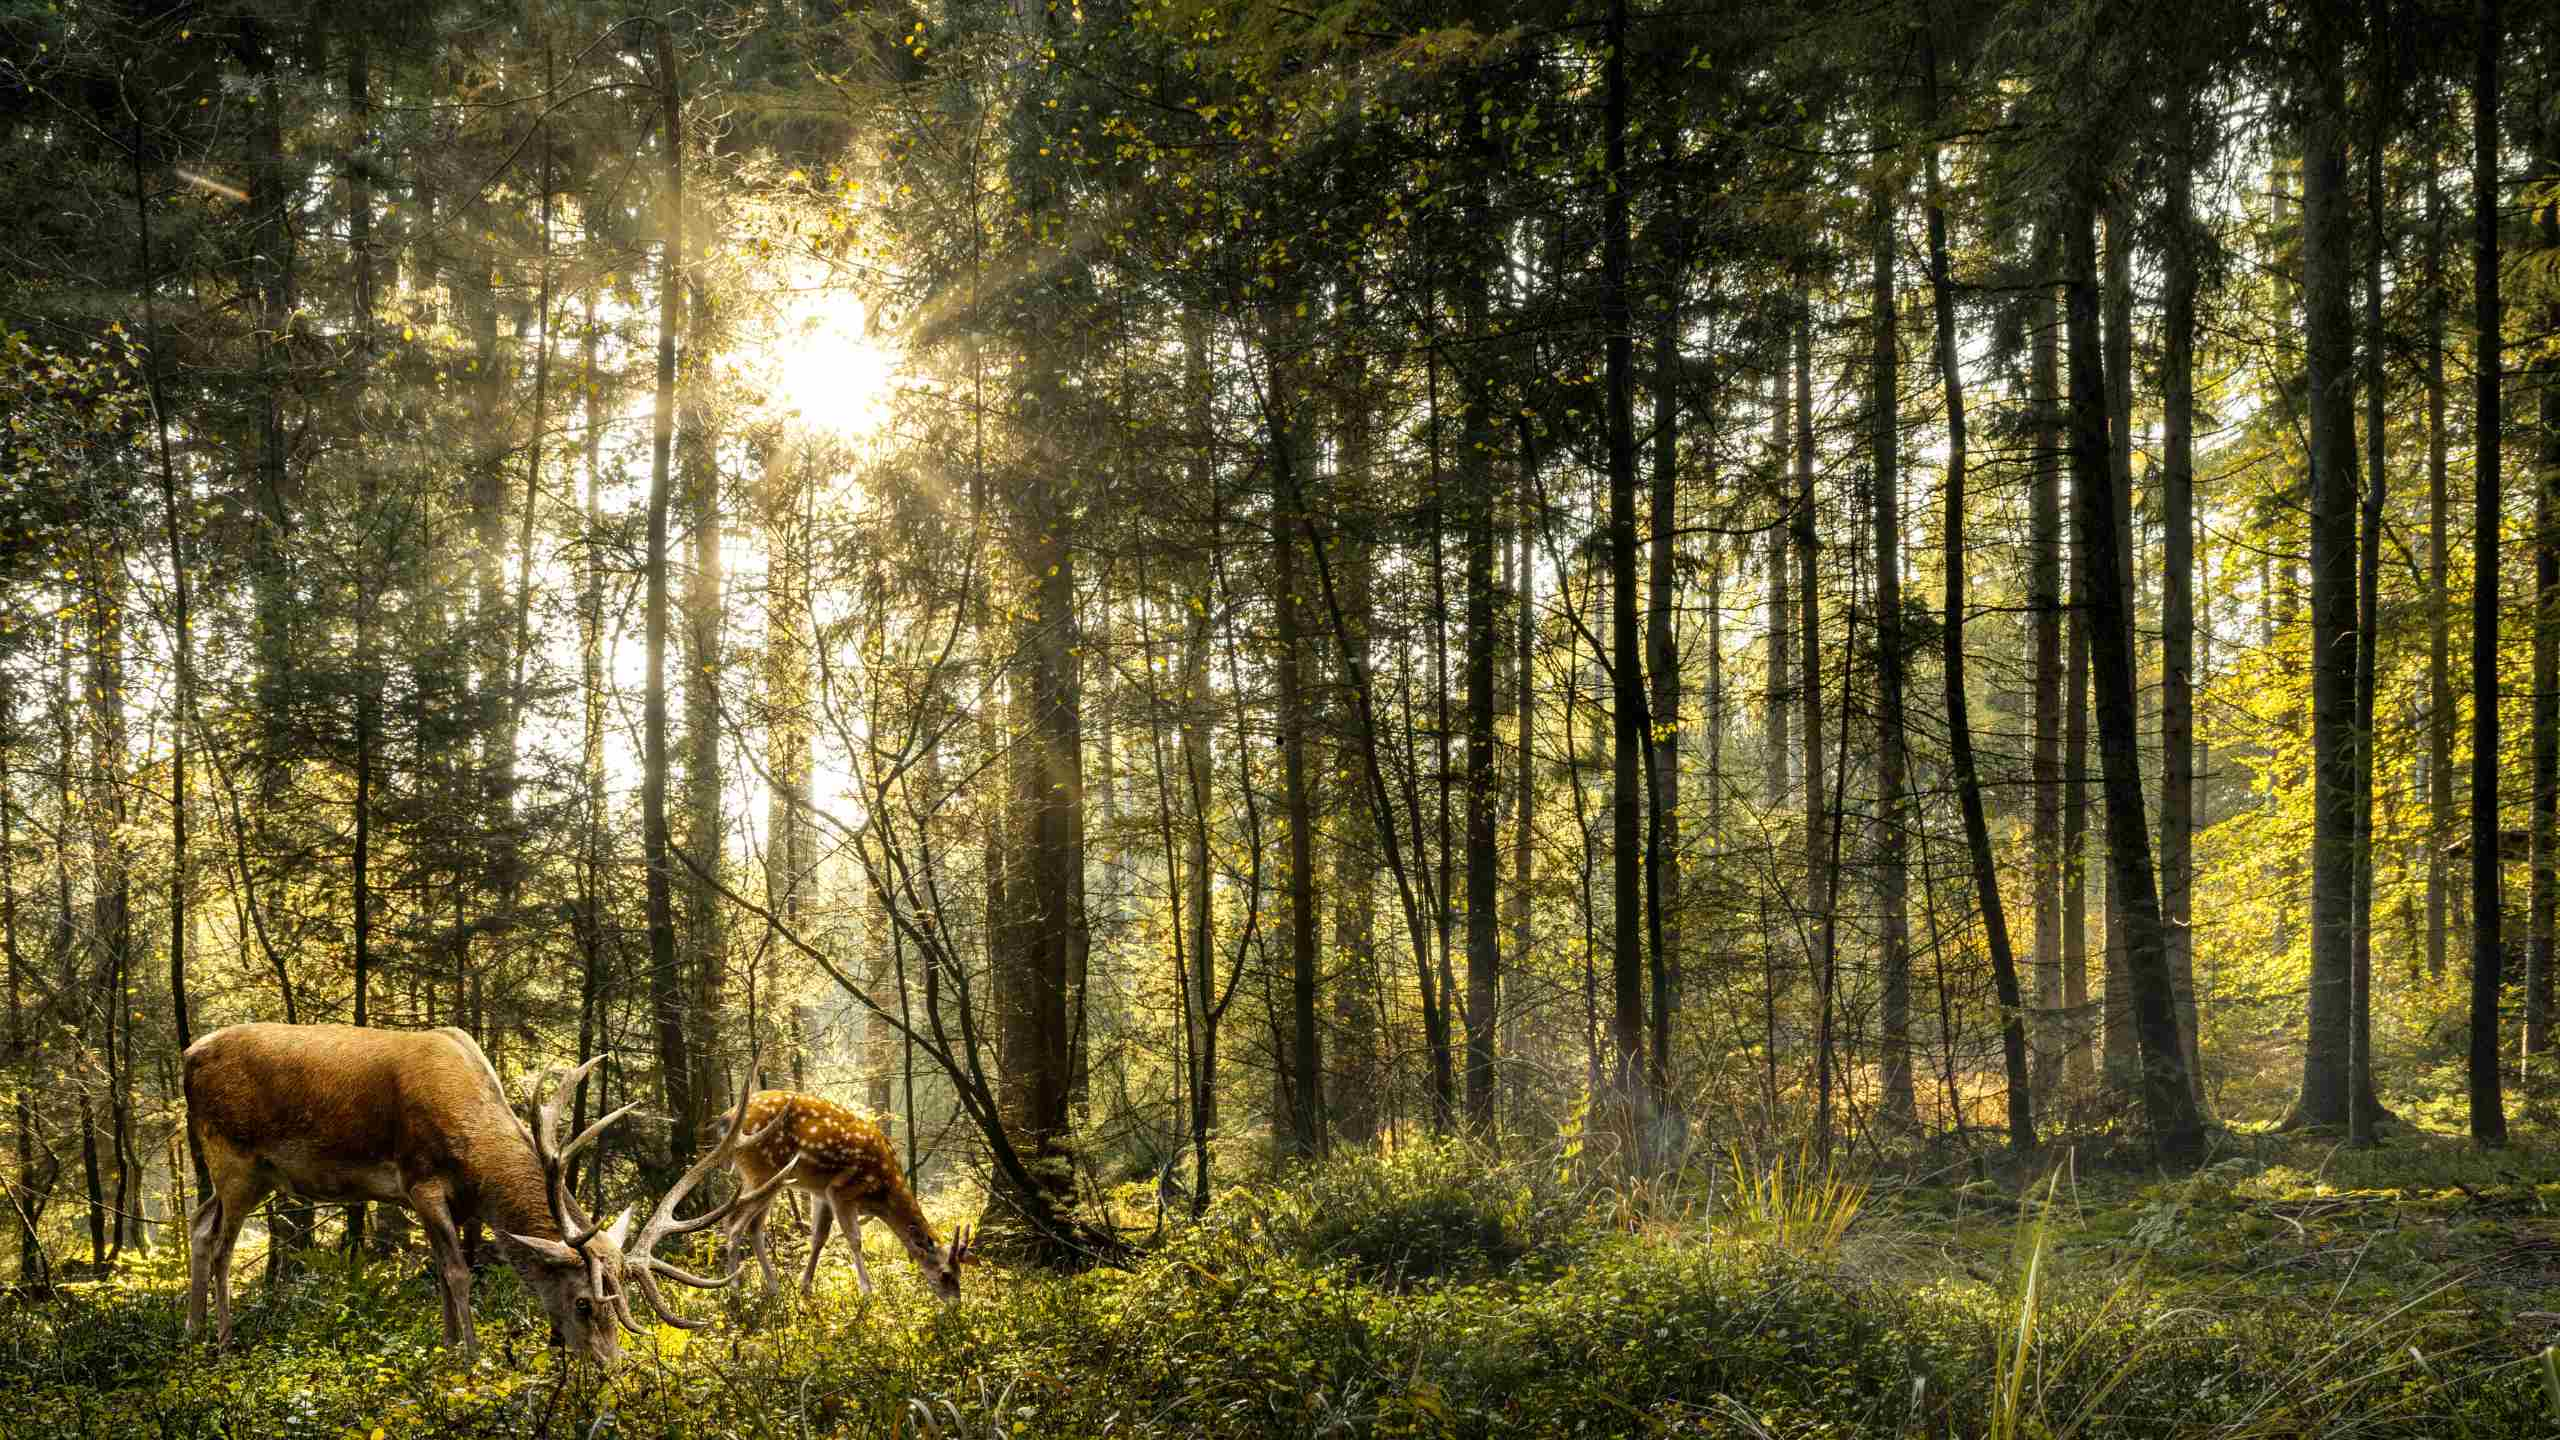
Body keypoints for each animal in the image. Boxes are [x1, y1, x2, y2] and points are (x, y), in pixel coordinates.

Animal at [180, 1019, 788, 1352]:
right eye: (585, 1303)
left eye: (620, 1303)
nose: (610, 1369)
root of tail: (188, 1055)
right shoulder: (420, 1180)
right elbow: (455, 1273)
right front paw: (472, 1357)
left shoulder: (463, 1203)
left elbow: (448, 1272)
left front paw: (448, 1348)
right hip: (232, 1155)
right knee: (223, 1245)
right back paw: (223, 1341)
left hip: (250, 1172)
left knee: (199, 1223)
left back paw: (191, 1331)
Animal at [727, 1086, 972, 1301]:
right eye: (945, 1274)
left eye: (961, 1273)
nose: (956, 1303)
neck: (883, 1192)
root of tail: (726, 1118)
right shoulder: (841, 1189)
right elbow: (854, 1239)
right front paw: (868, 1293)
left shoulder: (821, 1192)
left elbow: (819, 1238)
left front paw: (805, 1288)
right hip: (763, 1173)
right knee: (733, 1224)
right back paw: (736, 1290)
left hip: (761, 1178)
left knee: (752, 1226)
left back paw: (773, 1288)